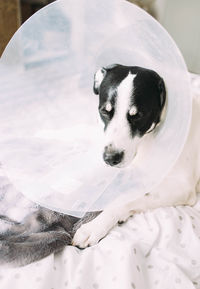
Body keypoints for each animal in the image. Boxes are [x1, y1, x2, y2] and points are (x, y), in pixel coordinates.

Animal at [0, 63, 199, 266]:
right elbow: (81, 135)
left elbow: (122, 200)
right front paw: (46, 136)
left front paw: (93, 227)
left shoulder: (180, 188)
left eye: (138, 116)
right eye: (105, 111)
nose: (110, 158)